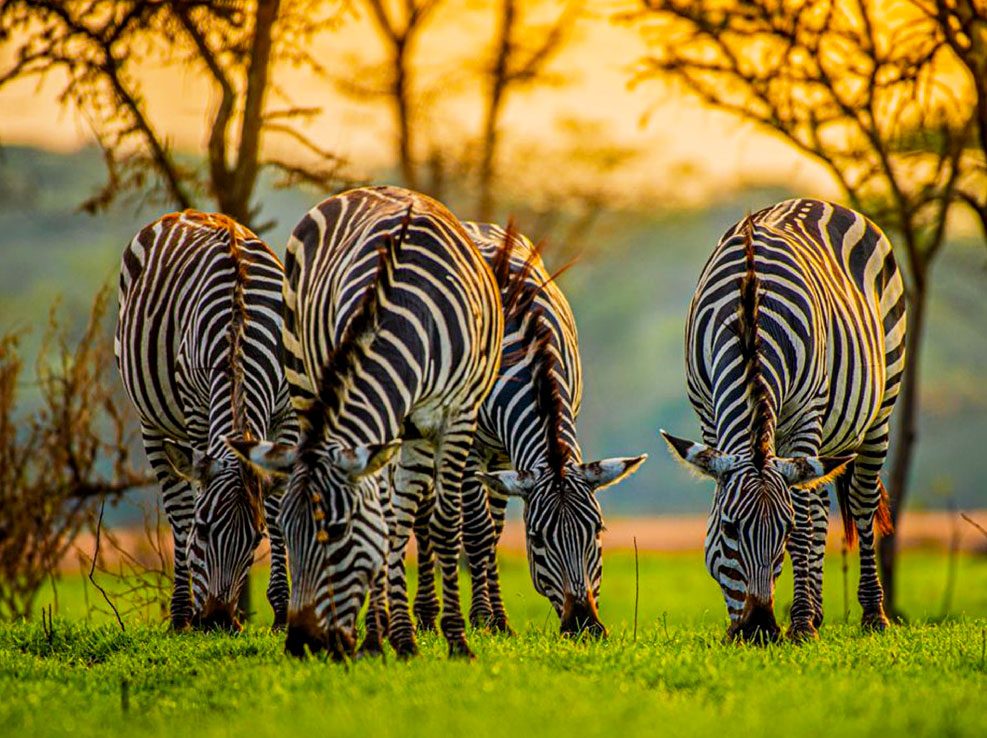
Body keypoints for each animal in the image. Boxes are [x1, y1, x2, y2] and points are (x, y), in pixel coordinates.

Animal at [115, 210, 298, 628]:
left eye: (257, 538)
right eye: (204, 528)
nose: (216, 620)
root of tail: (186, 213)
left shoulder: (286, 413)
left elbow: (279, 508)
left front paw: (282, 611)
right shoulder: (198, 413)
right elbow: (192, 504)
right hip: (153, 422)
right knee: (177, 505)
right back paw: (181, 612)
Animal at [224, 185, 502, 656]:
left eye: (338, 532)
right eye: (290, 533)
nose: (301, 644)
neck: (408, 316)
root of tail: (363, 189)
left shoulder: (458, 414)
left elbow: (444, 523)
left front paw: (455, 639)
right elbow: (386, 524)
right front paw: (384, 637)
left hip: (414, 431)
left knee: (406, 514)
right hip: (304, 375)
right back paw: (384, 632)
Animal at [410, 221, 648, 636]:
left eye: (598, 531)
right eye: (536, 539)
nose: (584, 625)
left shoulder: (508, 454)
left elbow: (494, 530)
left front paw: (495, 617)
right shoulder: (470, 446)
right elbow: (478, 531)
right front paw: (485, 618)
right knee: (427, 515)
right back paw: (425, 616)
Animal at [664, 198, 904, 640]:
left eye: (784, 530)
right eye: (728, 529)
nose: (758, 630)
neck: (748, 317)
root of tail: (819, 202)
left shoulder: (805, 413)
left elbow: (805, 521)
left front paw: (802, 623)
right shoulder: (707, 411)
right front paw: (794, 619)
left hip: (881, 405)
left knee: (859, 502)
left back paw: (871, 614)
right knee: (821, 503)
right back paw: (821, 612)